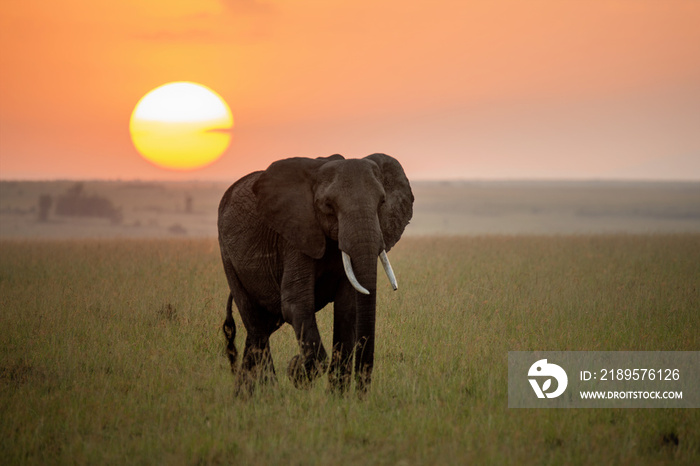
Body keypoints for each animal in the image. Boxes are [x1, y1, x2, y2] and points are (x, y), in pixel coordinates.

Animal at [219, 153, 412, 394]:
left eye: (382, 202)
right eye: (328, 205)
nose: (361, 394)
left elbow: (347, 309)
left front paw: (337, 398)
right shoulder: (295, 234)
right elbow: (296, 304)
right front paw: (296, 369)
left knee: (262, 328)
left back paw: (245, 396)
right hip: (228, 256)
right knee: (257, 327)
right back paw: (269, 393)